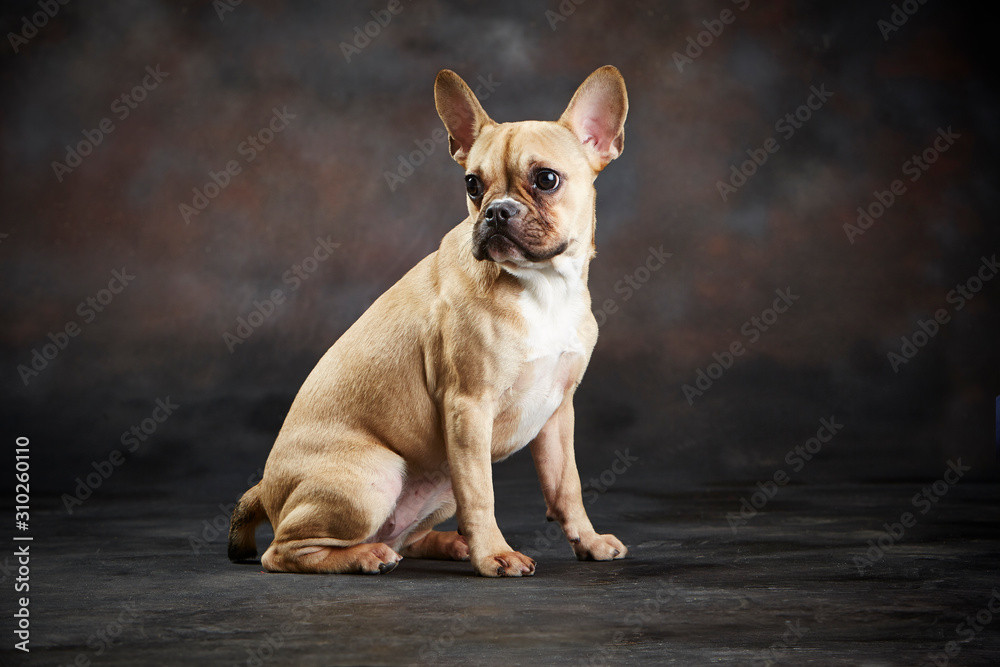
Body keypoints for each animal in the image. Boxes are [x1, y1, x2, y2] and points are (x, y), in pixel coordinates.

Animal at [230, 68, 628, 580]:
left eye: (546, 179)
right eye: (473, 185)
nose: (496, 210)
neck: (541, 285)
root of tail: (266, 490)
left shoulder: (558, 413)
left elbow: (566, 486)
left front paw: (589, 541)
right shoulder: (468, 408)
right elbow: (482, 494)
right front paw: (494, 554)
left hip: (435, 487)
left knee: (405, 535)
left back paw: (443, 544)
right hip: (375, 477)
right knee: (283, 552)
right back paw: (366, 557)